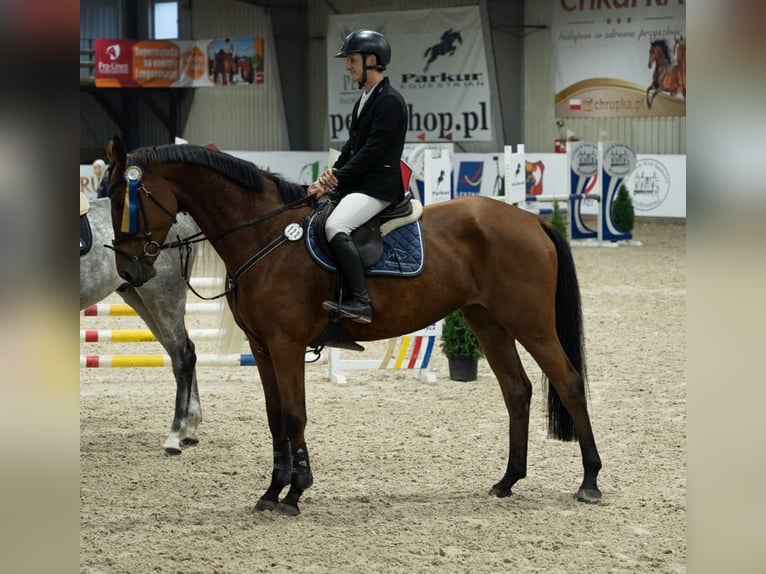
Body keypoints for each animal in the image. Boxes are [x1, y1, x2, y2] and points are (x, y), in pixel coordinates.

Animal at [105, 138, 604, 516]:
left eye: (127, 202)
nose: (129, 271)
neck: (264, 237)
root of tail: (531, 221)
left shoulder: (286, 346)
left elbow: (294, 415)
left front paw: (295, 492)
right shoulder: (262, 348)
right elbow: (274, 418)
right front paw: (272, 491)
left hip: (530, 323)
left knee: (569, 382)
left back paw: (590, 481)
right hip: (490, 322)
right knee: (517, 390)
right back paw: (507, 481)